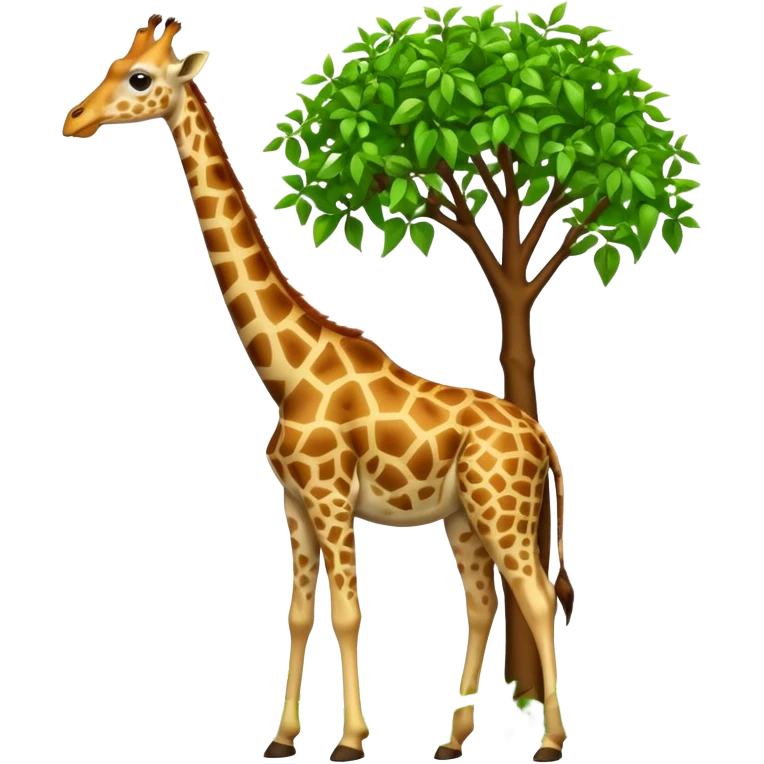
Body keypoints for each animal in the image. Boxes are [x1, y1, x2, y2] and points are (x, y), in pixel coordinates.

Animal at [62, 16, 575, 762]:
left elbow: (349, 611)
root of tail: (539, 434)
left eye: (138, 77)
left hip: (502, 506)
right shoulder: (295, 504)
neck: (288, 374)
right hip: (461, 514)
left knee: (536, 596)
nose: (75, 119)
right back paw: (451, 739)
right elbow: (300, 612)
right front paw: (282, 737)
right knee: (484, 600)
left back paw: (550, 740)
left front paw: (351, 740)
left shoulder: (332, 496)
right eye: (116, 65)